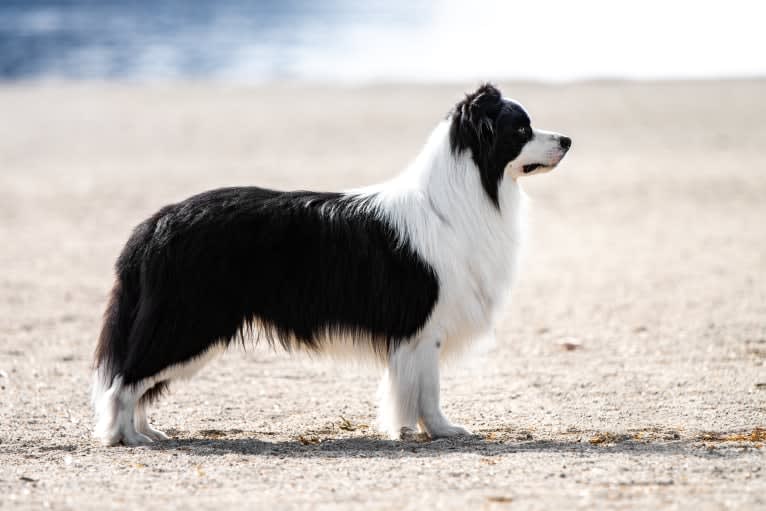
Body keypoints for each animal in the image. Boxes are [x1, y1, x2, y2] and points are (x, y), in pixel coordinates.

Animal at [93, 84, 568, 444]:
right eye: (521, 128)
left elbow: (413, 390)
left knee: (136, 381)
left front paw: (417, 430)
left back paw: (148, 432)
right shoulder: (425, 326)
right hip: (190, 323)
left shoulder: (414, 336)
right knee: (124, 381)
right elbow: (429, 391)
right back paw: (125, 438)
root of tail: (154, 225)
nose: (567, 140)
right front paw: (440, 431)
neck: (469, 191)